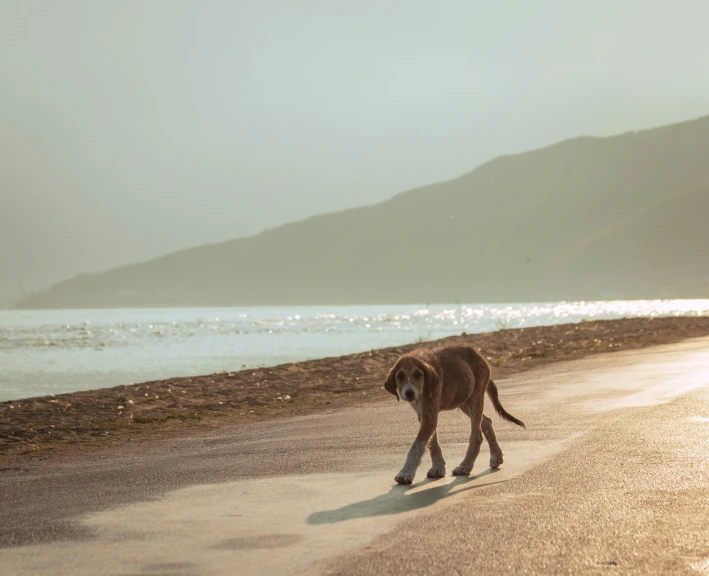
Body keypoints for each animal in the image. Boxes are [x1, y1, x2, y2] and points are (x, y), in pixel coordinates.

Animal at [384, 344, 524, 484]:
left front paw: (405, 473)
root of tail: (478, 354)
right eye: (400, 376)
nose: (409, 393)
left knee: (476, 436)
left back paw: (465, 466)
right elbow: (432, 443)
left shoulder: (430, 416)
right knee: (486, 421)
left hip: (475, 398)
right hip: (464, 401)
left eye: (418, 375)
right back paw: (496, 456)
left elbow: (415, 447)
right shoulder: (423, 415)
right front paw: (438, 467)